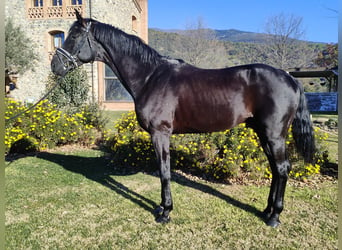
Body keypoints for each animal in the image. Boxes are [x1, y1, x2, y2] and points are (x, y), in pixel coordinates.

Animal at [49, 11, 314, 228]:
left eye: (74, 36)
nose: (55, 66)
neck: (150, 77)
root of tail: (290, 78)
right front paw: (162, 208)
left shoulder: (160, 134)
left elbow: (164, 171)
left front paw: (165, 212)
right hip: (263, 133)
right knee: (275, 169)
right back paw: (267, 210)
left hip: (274, 134)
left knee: (282, 168)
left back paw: (274, 217)